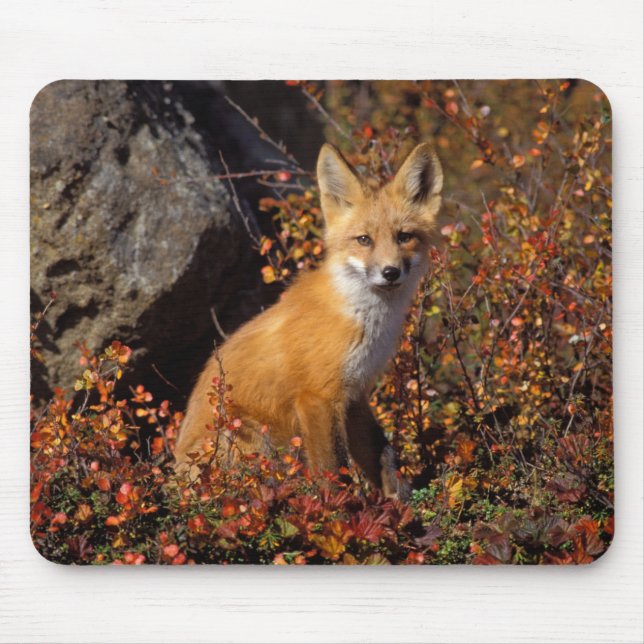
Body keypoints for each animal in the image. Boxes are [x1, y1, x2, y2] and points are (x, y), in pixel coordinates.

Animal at [173, 141, 443, 498]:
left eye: (404, 237)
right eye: (364, 240)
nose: (390, 272)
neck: (363, 320)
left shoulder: (354, 394)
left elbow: (381, 453)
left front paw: (397, 499)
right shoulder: (318, 397)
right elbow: (334, 469)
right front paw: (343, 508)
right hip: (252, 437)